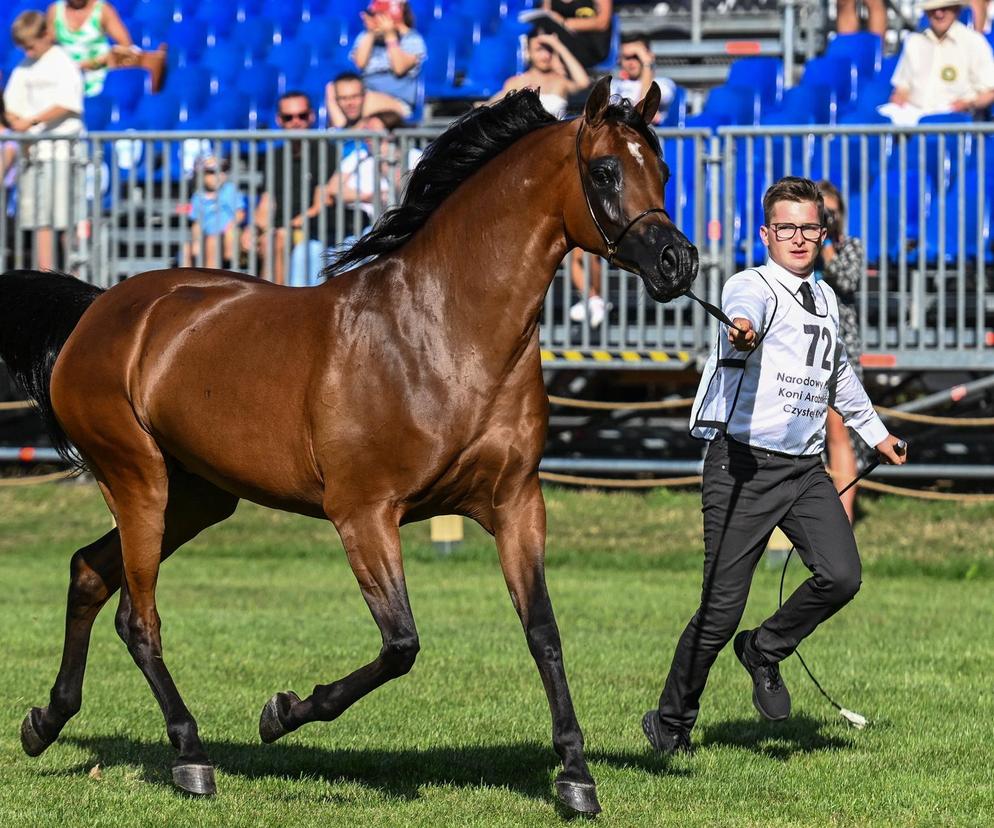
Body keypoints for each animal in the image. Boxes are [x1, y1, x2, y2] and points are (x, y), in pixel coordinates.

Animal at [0, 76, 696, 816]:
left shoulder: (515, 503)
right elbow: (400, 644)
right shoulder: (364, 515)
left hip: (197, 498)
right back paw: (190, 757)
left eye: (663, 170)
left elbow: (543, 631)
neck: (442, 333)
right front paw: (281, 712)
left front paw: (575, 775)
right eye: (605, 171)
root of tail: (99, 310)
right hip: (139, 481)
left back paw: (45, 722)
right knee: (138, 616)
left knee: (89, 571)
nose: (678, 262)